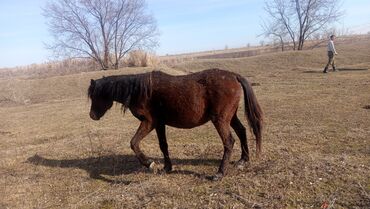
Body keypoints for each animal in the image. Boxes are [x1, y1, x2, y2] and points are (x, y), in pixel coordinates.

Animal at [88, 68, 264, 180]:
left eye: (95, 95)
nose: (92, 116)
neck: (140, 90)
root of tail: (234, 76)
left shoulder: (149, 122)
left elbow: (134, 143)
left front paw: (149, 164)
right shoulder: (159, 123)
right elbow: (163, 145)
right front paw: (166, 168)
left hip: (220, 120)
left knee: (229, 141)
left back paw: (219, 173)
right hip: (230, 117)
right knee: (242, 131)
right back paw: (243, 161)